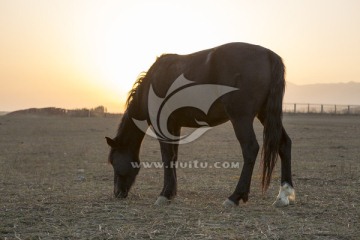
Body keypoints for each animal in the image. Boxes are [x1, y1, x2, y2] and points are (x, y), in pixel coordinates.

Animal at [106, 42, 296, 206]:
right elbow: (174, 156)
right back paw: (283, 195)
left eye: (113, 161)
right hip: (266, 115)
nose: (117, 193)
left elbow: (167, 156)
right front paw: (171, 192)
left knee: (250, 148)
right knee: (284, 144)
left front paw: (164, 194)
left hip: (241, 118)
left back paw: (235, 197)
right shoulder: (174, 125)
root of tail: (269, 55)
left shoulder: (163, 126)